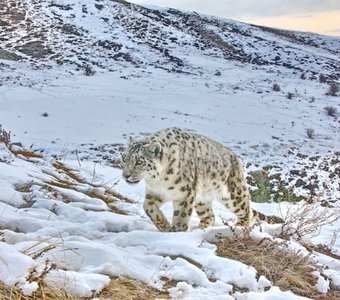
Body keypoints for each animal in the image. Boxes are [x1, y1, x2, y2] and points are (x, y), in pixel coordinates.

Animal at [121, 127, 282, 232]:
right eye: (124, 158)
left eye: (139, 161)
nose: (125, 175)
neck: (159, 181)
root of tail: (235, 157)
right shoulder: (154, 192)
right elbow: (148, 208)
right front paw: (165, 226)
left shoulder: (185, 193)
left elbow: (181, 217)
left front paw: (176, 233)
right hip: (201, 199)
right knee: (210, 216)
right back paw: (199, 229)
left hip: (233, 195)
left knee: (246, 210)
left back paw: (239, 228)